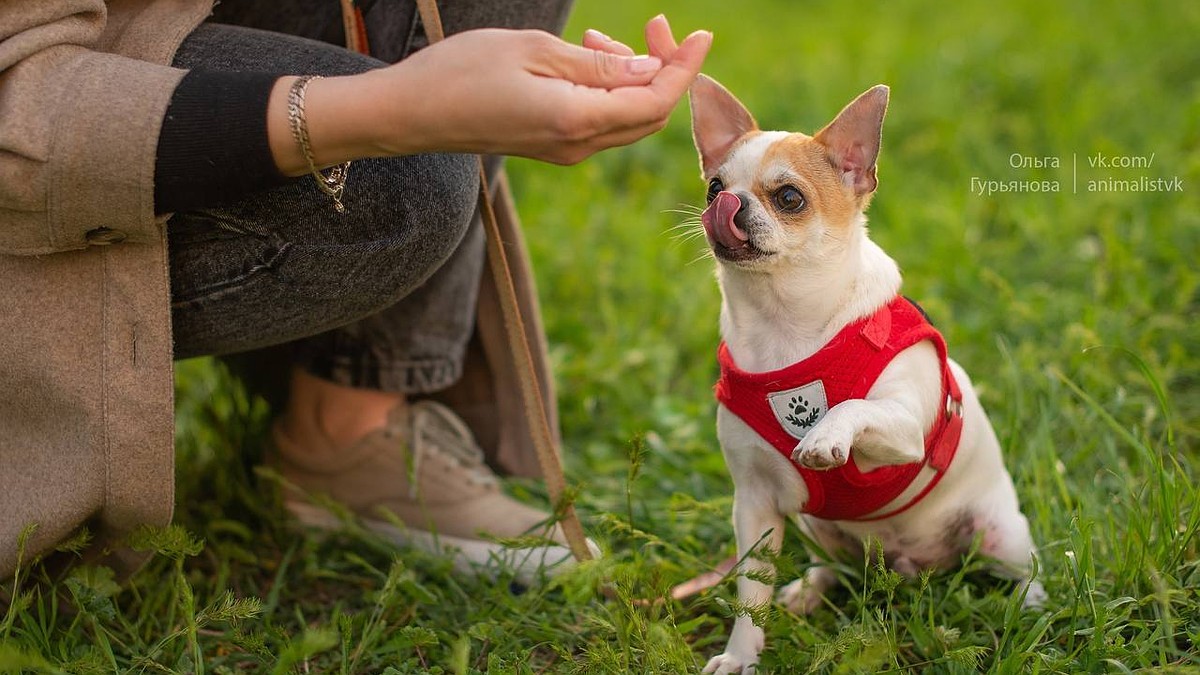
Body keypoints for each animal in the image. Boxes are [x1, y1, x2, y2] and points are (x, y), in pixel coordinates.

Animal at [691, 74, 1046, 672]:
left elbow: (854, 405)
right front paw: (741, 655)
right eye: (714, 187)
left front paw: (824, 435)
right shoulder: (755, 506)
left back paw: (1031, 609)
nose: (726, 204)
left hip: (1001, 530)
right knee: (832, 567)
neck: (784, 326)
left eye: (790, 198)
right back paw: (809, 591)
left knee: (1027, 570)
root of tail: (909, 567)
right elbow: (751, 595)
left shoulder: (905, 429)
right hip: (814, 526)